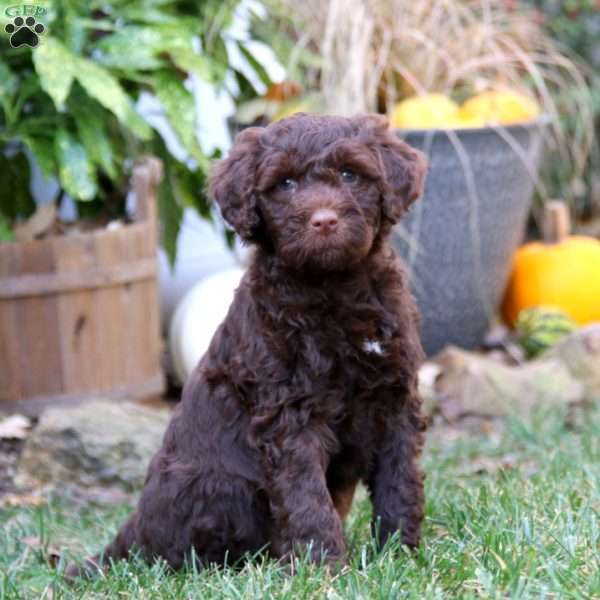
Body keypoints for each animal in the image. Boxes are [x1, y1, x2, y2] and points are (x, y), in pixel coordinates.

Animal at [69, 113, 426, 576]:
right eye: (286, 184)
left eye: (351, 174)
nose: (324, 221)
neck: (334, 287)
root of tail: (133, 535)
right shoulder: (289, 412)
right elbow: (306, 494)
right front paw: (324, 568)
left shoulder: (395, 396)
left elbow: (399, 479)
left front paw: (402, 553)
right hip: (223, 491)